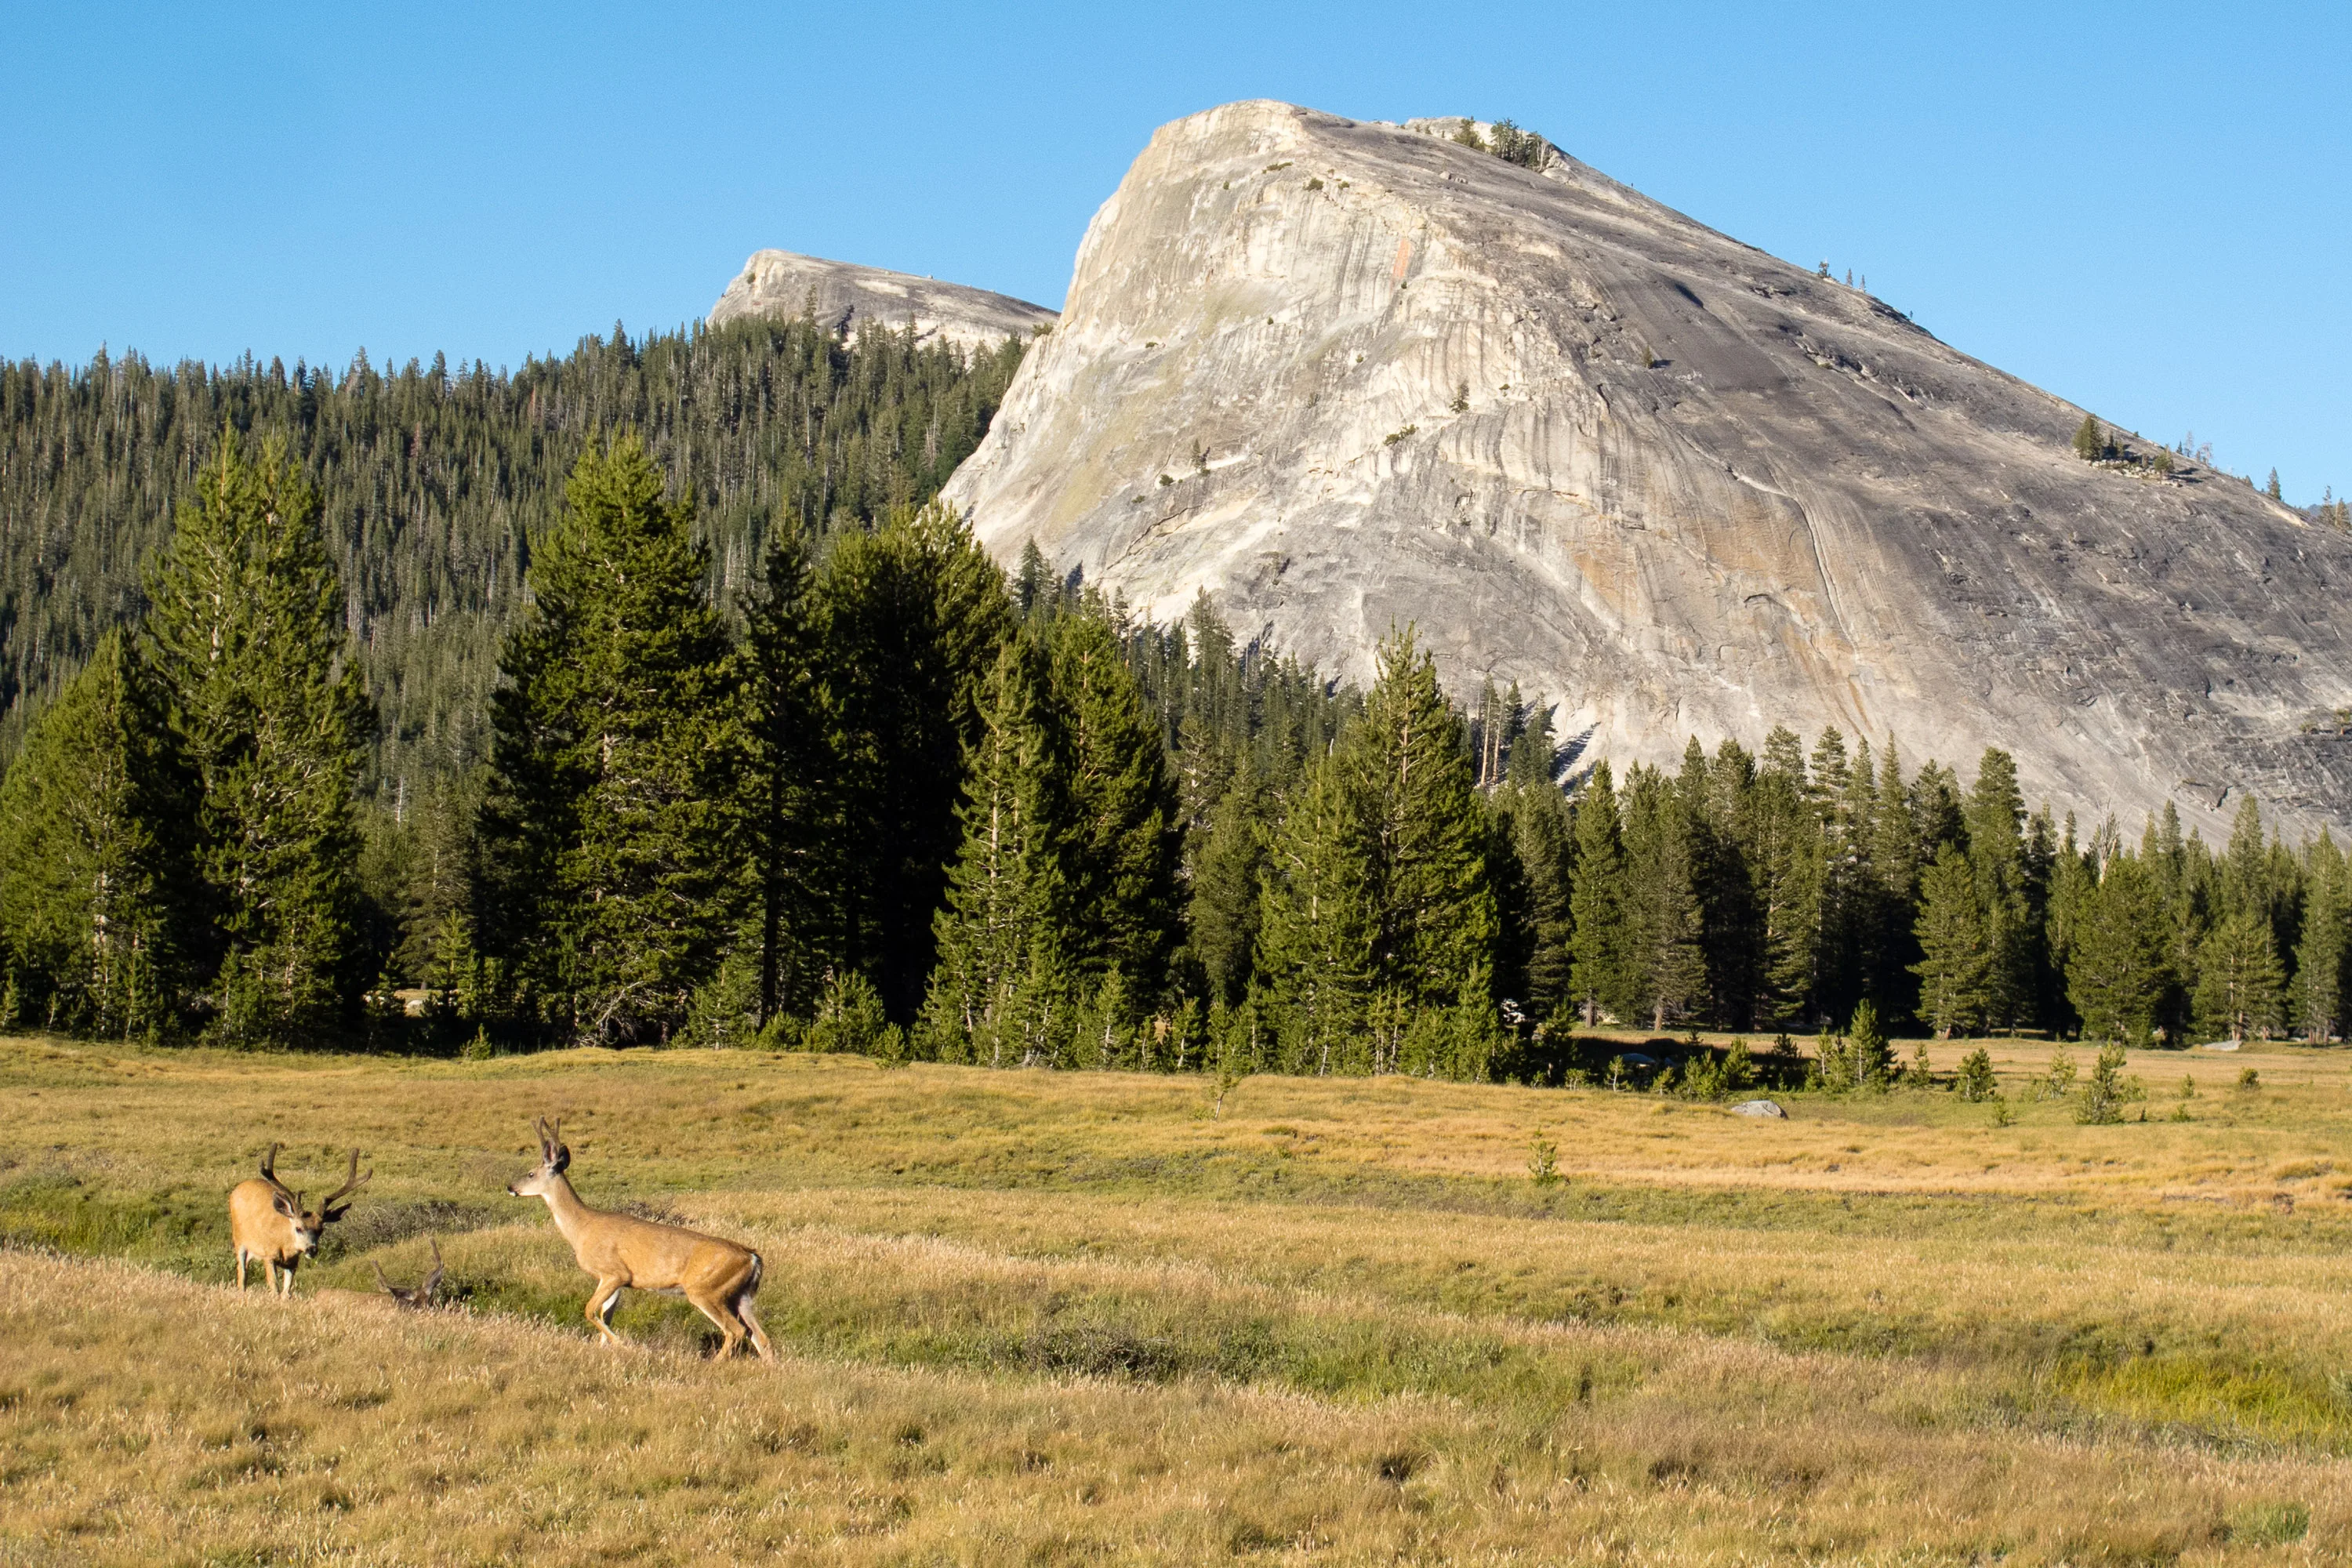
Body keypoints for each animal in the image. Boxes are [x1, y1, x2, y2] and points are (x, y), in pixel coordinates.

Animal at [228, 1143, 371, 1295]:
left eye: (320, 1230)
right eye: (298, 1228)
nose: (311, 1250)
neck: (283, 1243)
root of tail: (237, 1188)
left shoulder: (293, 1264)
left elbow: (286, 1293)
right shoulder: (269, 1256)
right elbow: (275, 1289)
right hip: (239, 1240)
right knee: (241, 1275)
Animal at [507, 1115, 771, 1360]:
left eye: (530, 1173)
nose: (510, 1187)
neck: (582, 1227)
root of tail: (752, 1258)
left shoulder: (614, 1272)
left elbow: (590, 1310)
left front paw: (624, 1345)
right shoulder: (614, 1280)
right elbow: (605, 1316)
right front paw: (607, 1349)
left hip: (706, 1290)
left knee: (736, 1331)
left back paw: (713, 1365)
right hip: (740, 1295)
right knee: (760, 1336)